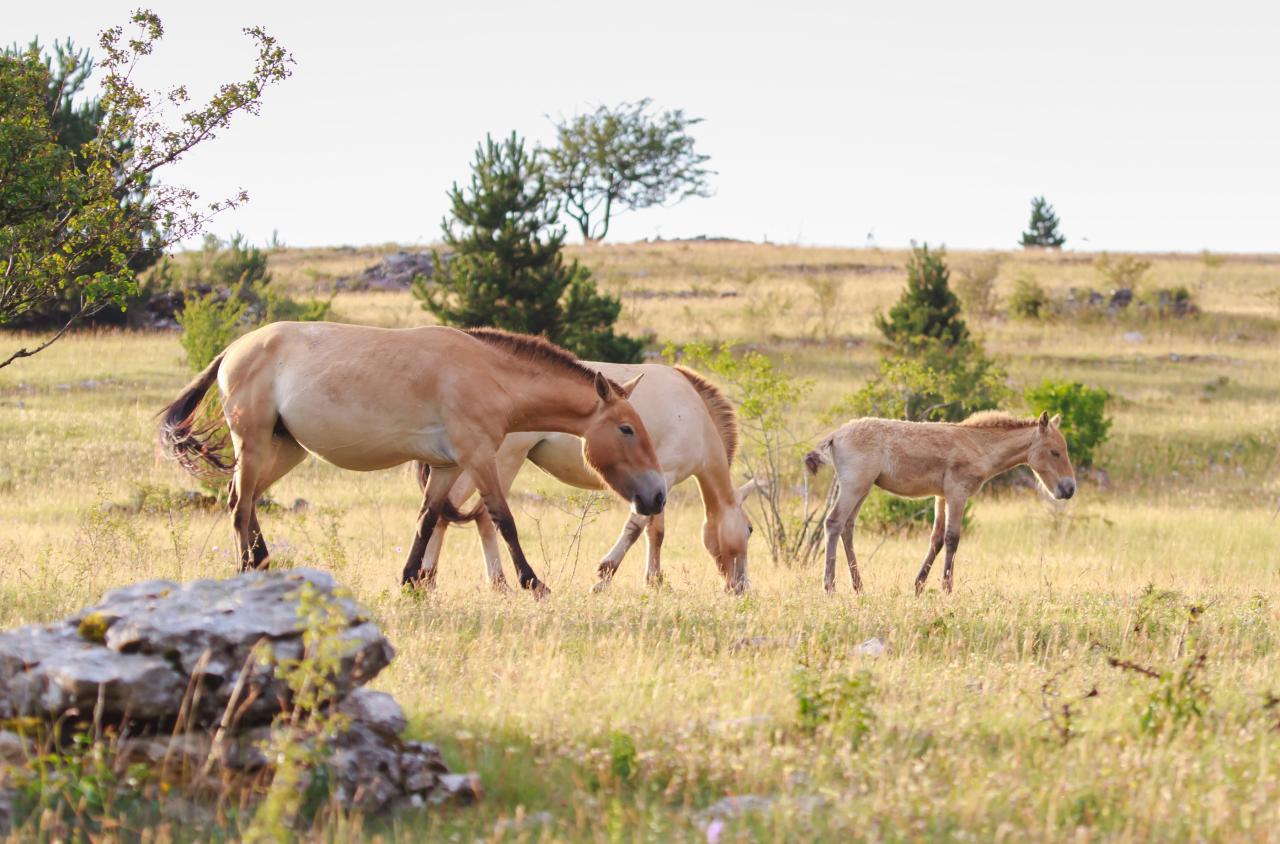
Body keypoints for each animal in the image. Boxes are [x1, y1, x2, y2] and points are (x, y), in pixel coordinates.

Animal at [157, 320, 670, 596]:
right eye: (626, 428)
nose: (657, 495)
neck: (489, 374)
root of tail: (233, 349)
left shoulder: (447, 466)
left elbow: (426, 519)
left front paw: (409, 581)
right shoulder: (478, 457)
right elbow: (503, 519)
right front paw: (534, 584)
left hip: (285, 449)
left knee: (242, 501)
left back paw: (264, 567)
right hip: (255, 442)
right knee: (239, 505)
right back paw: (248, 572)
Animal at [412, 363, 757, 594]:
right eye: (750, 530)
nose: (741, 587)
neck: (695, 417)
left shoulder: (658, 486)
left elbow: (655, 531)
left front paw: (655, 581)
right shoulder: (664, 478)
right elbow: (637, 528)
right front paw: (604, 577)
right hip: (501, 462)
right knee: (477, 516)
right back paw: (476, 583)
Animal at [803, 409, 1075, 594]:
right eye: (1055, 452)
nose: (1070, 488)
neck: (978, 445)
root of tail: (835, 435)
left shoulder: (941, 497)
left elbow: (936, 539)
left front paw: (919, 585)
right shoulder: (957, 494)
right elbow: (952, 538)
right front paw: (947, 589)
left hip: (863, 489)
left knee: (847, 527)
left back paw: (859, 586)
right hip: (854, 487)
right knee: (833, 523)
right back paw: (830, 586)